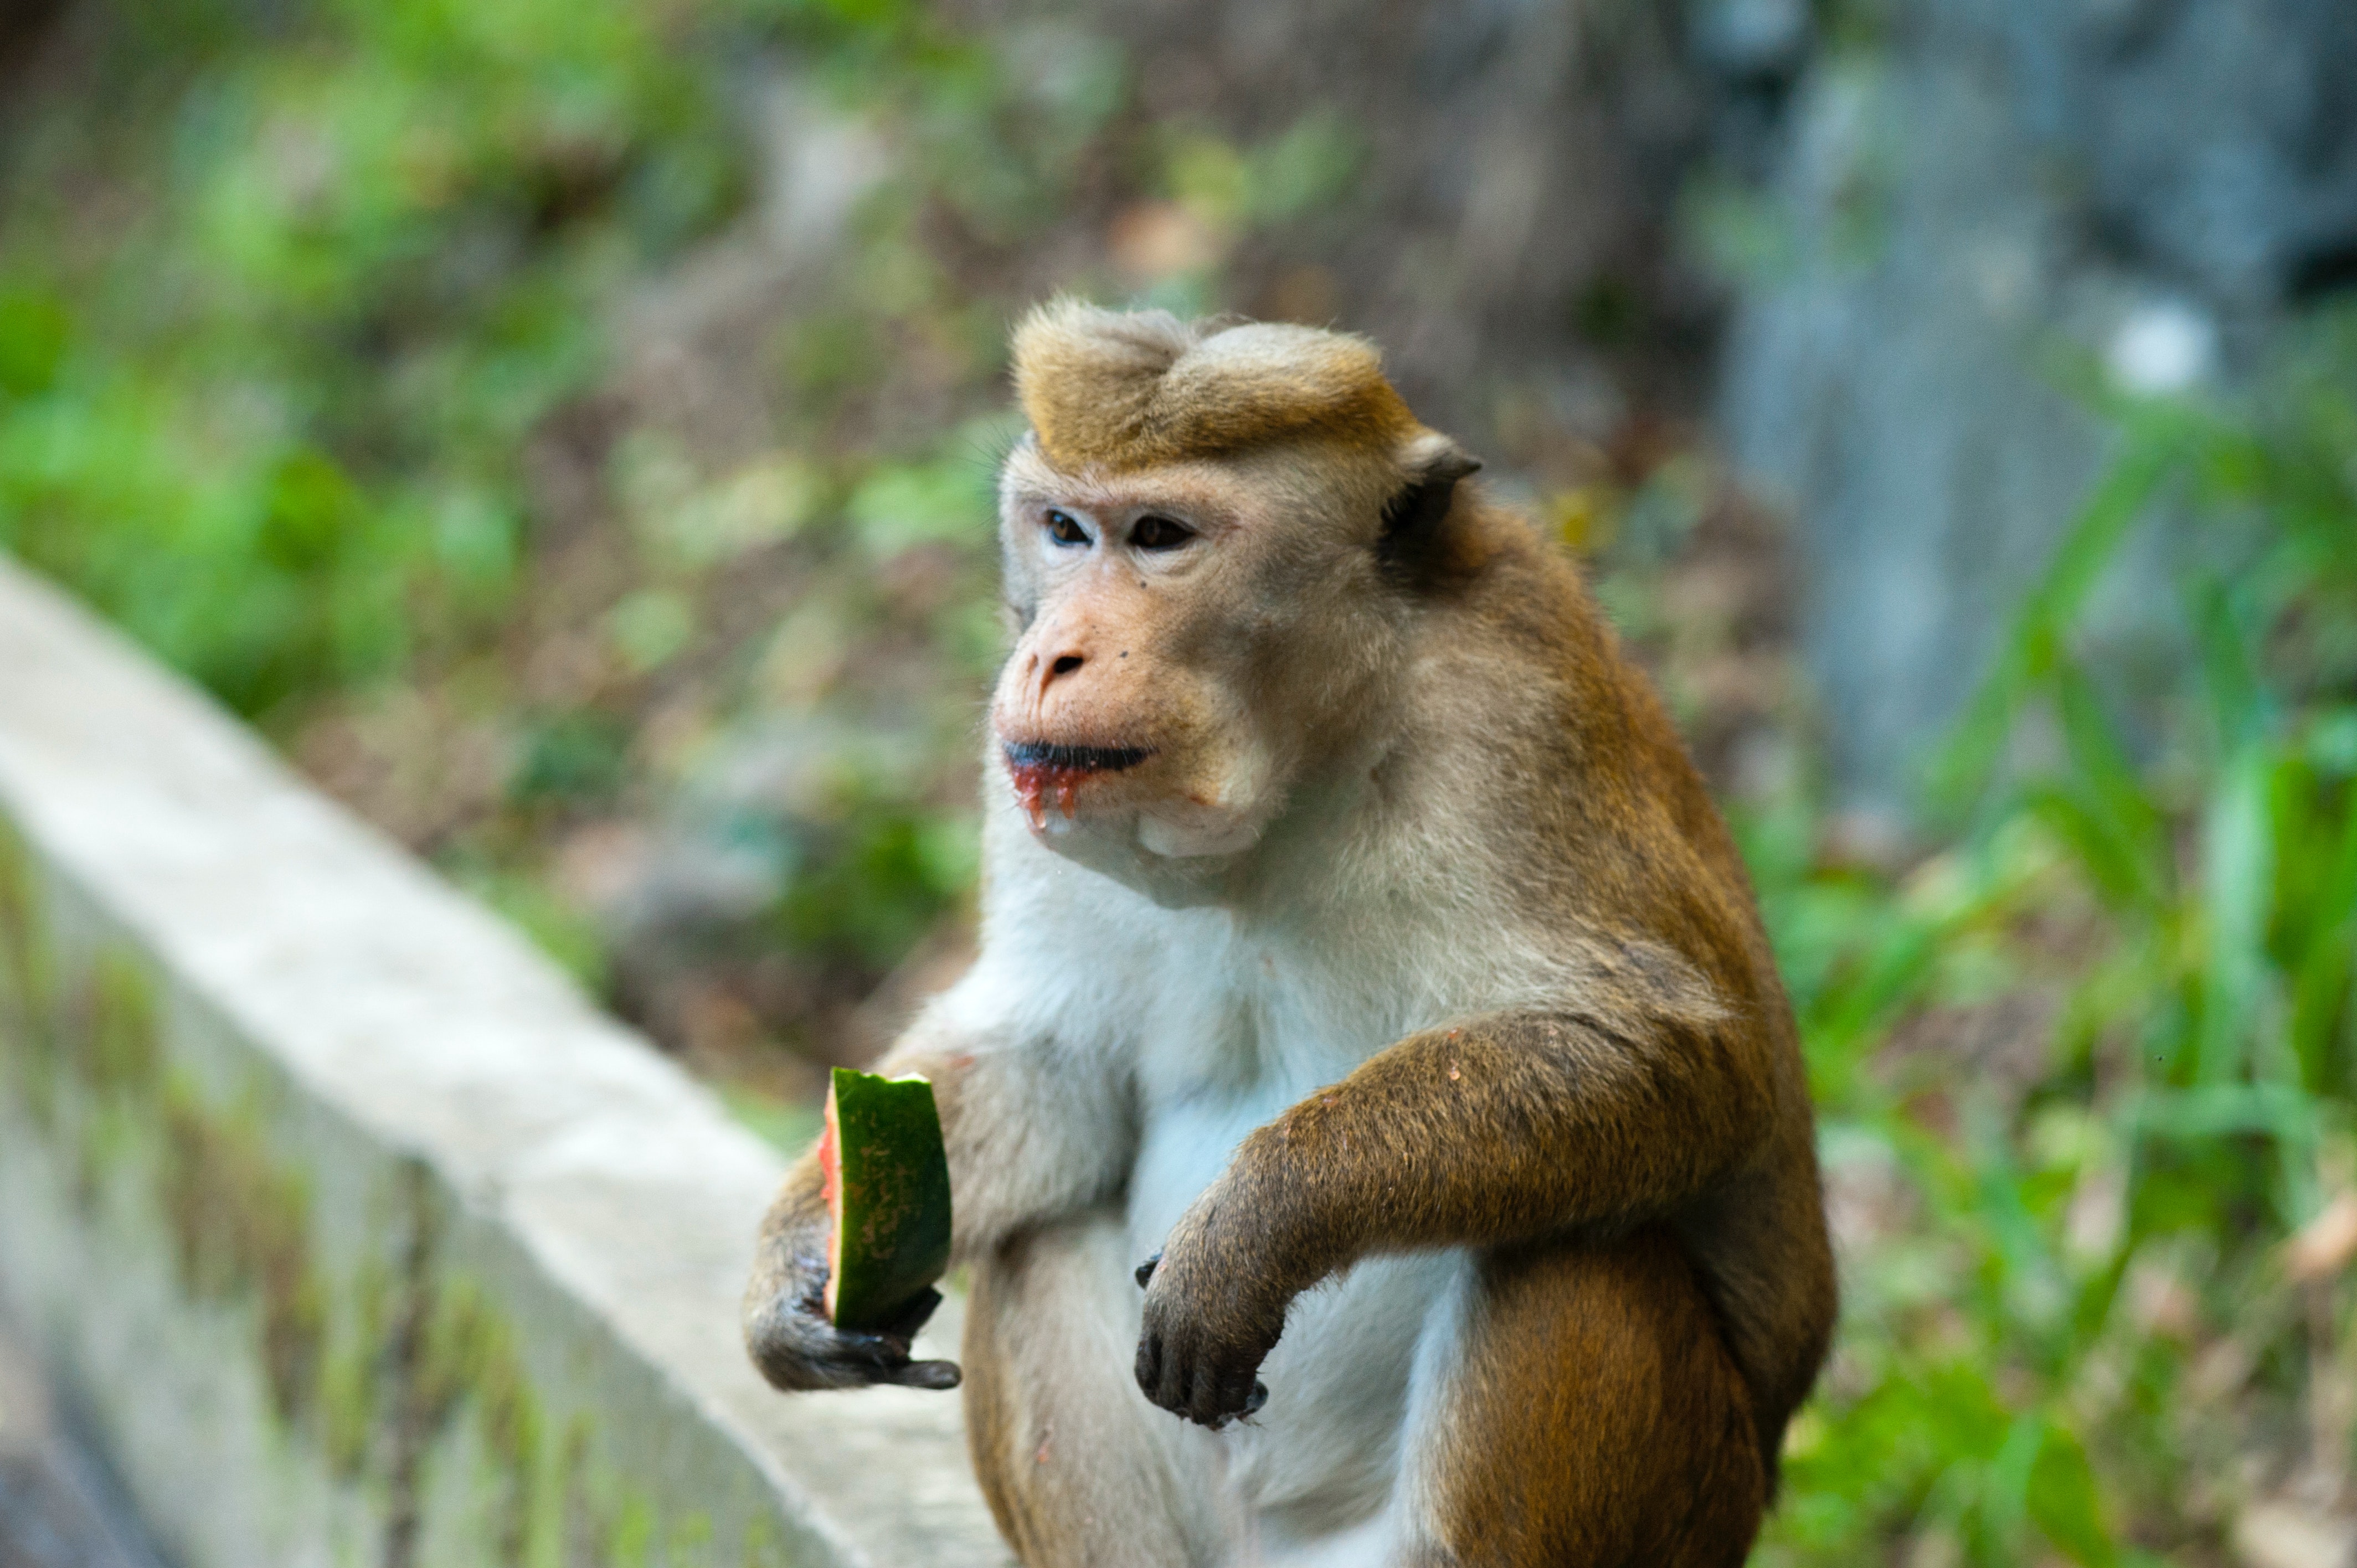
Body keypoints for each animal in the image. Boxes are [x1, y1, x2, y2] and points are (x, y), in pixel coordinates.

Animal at [744, 301, 1837, 1568]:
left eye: (1159, 536)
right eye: (1064, 529)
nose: (1050, 654)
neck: (1304, 764)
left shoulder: (1513, 716)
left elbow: (1674, 1053)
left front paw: (1256, 1223)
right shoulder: (1025, 775)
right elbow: (1051, 1060)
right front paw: (797, 1261)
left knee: (1573, 1247)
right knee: (1036, 1237)